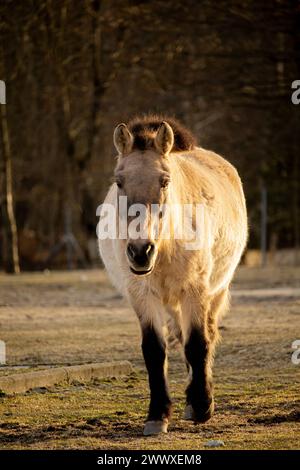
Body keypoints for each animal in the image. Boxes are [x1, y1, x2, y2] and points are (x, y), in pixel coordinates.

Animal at [97, 114, 247, 436]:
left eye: (165, 181)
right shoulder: (142, 296)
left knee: (207, 334)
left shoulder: (196, 290)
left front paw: (202, 406)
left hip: (215, 291)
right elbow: (155, 351)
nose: (140, 252)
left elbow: (198, 343)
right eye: (119, 182)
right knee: (179, 334)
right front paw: (157, 416)